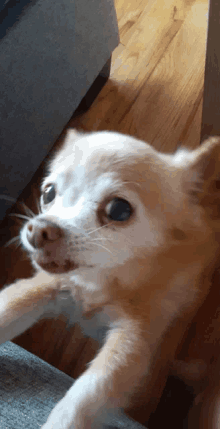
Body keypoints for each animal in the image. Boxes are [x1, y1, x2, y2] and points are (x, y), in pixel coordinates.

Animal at [0, 131, 220, 428]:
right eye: (48, 193)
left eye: (118, 209)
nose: (38, 230)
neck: (101, 281)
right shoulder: (46, 286)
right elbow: (9, 310)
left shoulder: (134, 339)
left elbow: (88, 394)